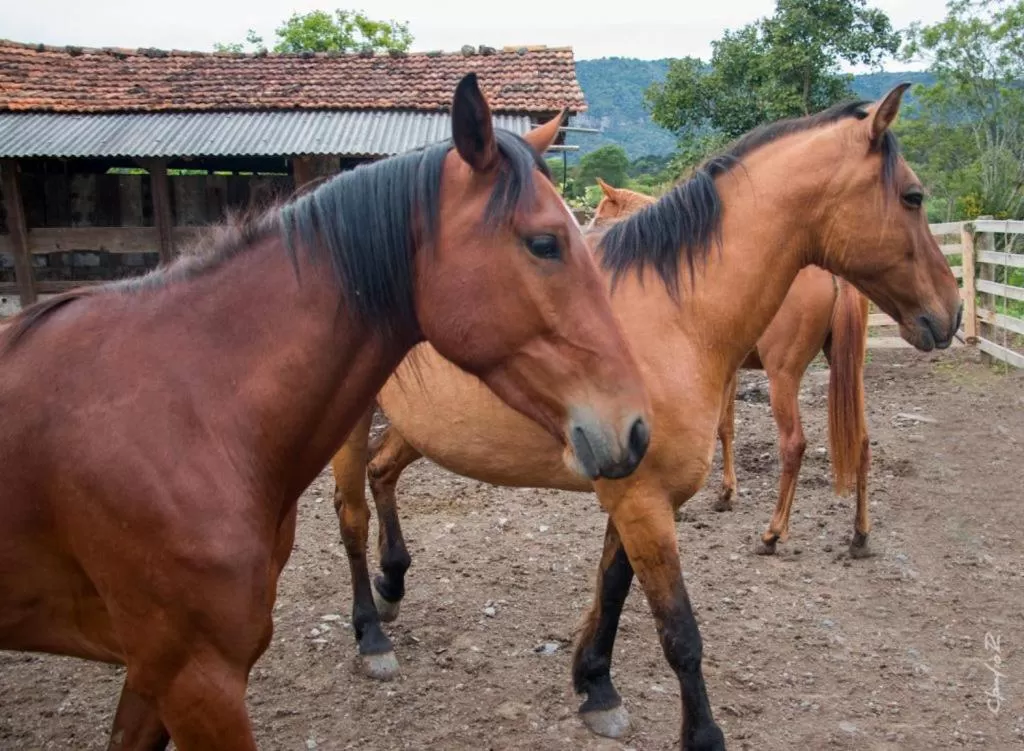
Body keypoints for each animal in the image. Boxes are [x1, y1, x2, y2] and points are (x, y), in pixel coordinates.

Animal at [593, 181, 872, 557]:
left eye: (599, 218)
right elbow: (725, 428)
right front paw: (726, 493)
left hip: (783, 378)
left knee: (793, 445)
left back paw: (773, 533)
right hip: (848, 373)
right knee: (862, 442)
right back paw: (859, 535)